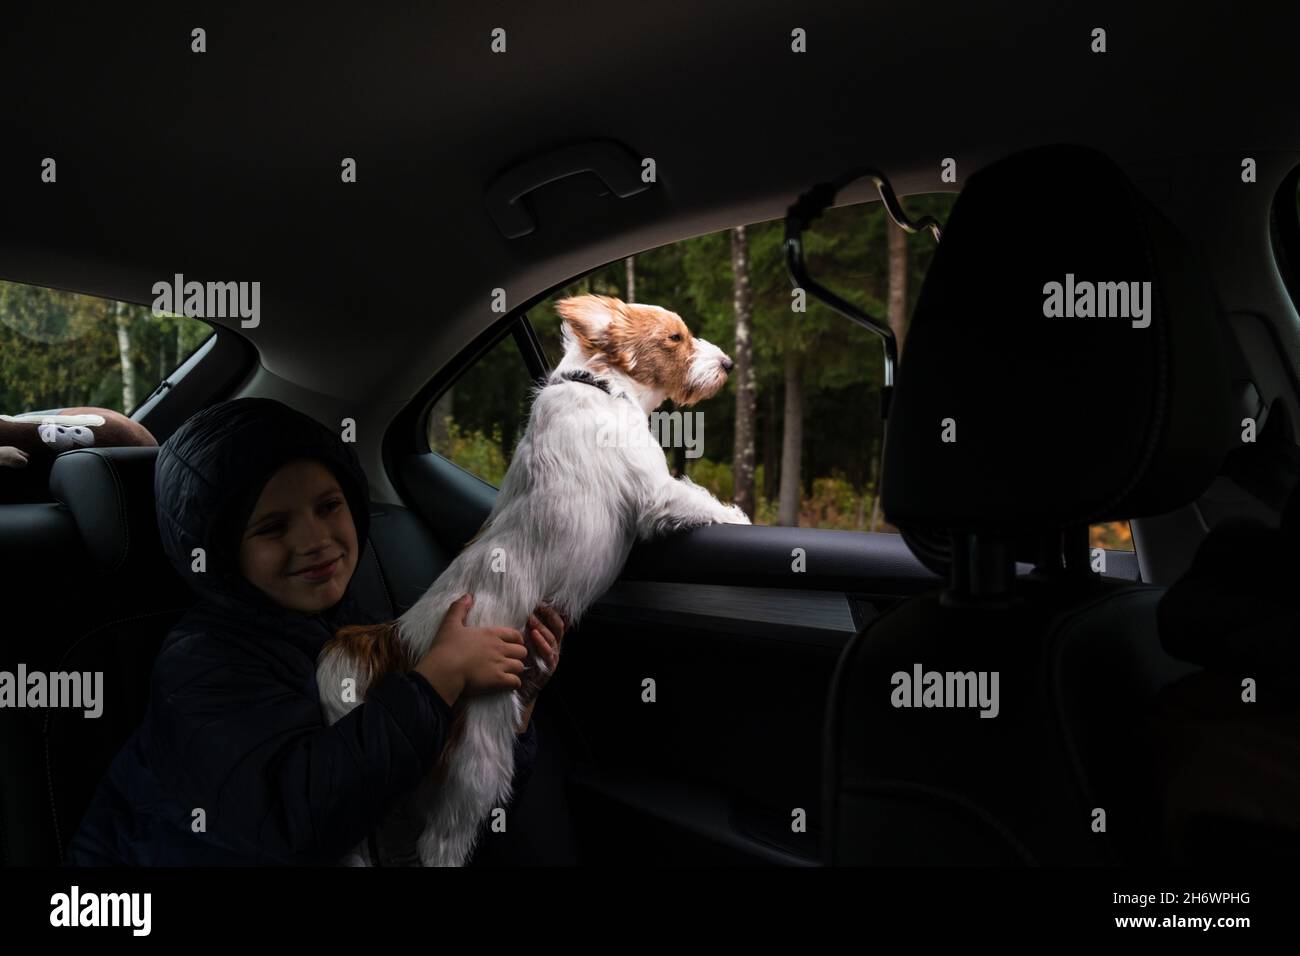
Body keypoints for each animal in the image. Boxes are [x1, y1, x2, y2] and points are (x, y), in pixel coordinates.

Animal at [313, 293, 754, 868]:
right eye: (674, 338)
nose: (727, 364)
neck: (598, 386)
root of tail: (404, 636)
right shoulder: (655, 492)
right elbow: (697, 501)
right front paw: (741, 520)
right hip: (477, 758)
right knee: (441, 841)